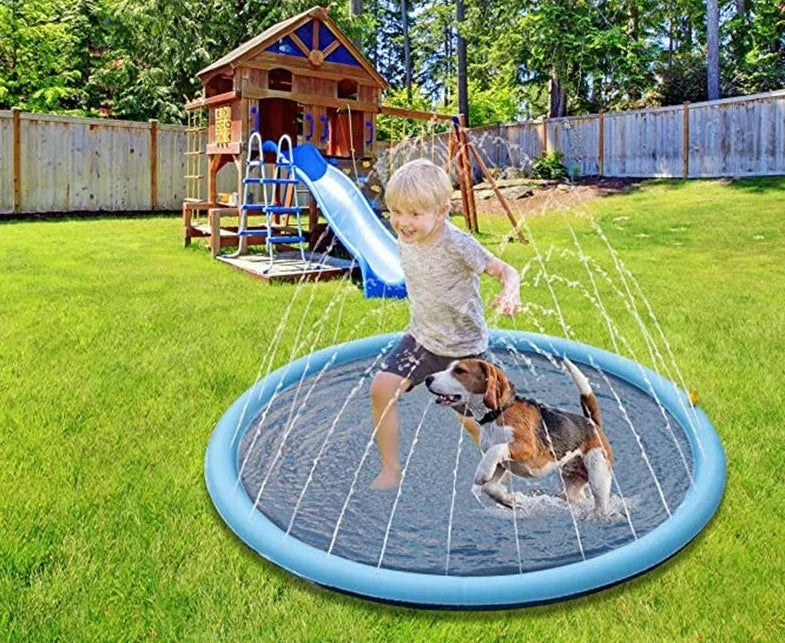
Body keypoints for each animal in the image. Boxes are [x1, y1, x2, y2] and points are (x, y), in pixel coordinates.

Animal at [422, 360, 612, 516]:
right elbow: (489, 487)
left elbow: (496, 449)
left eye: (460, 371)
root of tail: (592, 423)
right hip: (571, 483)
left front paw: (482, 472)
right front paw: (510, 501)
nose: (427, 378)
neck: (497, 413)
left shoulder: (527, 449)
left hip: (599, 475)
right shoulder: (501, 465)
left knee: (600, 502)